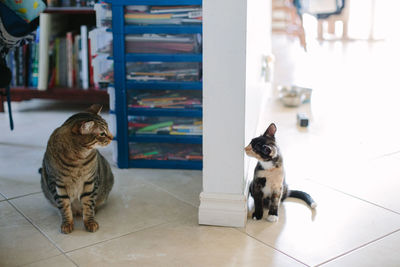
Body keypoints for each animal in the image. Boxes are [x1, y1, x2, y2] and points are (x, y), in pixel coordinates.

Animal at [40, 104, 114, 234]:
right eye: (102, 134)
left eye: (108, 130)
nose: (113, 137)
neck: (78, 160)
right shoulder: (57, 184)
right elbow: (64, 206)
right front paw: (67, 223)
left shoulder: (90, 182)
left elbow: (88, 205)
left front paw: (90, 222)